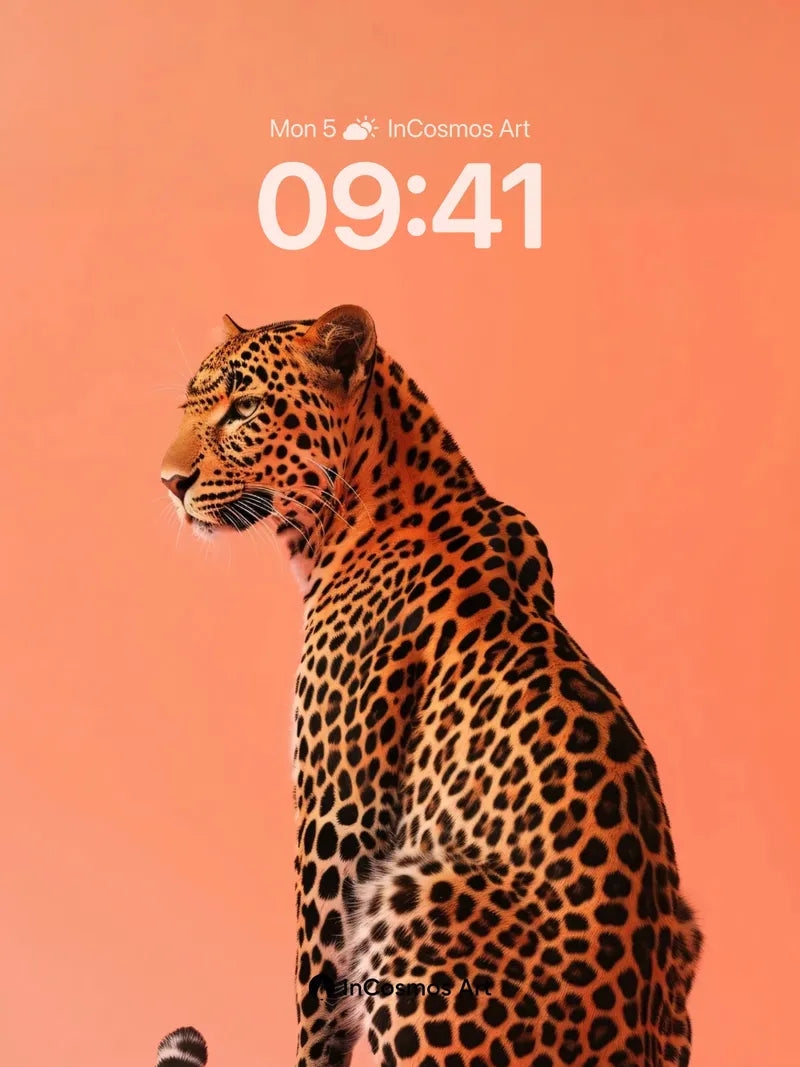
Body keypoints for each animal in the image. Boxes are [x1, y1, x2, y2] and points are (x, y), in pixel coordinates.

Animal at [157, 305, 702, 1067]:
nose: (168, 481)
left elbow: (316, 999)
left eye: (245, 410)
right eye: (189, 405)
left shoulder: (339, 820)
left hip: (418, 886)